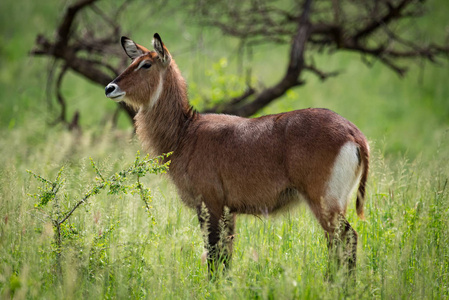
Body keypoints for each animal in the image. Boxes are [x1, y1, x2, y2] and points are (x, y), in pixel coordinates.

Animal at [104, 32, 368, 276]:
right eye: (133, 61)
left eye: (146, 64)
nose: (109, 88)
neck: (185, 132)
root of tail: (354, 133)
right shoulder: (228, 212)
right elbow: (225, 257)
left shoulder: (210, 204)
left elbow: (213, 254)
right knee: (339, 242)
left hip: (324, 201)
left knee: (345, 239)